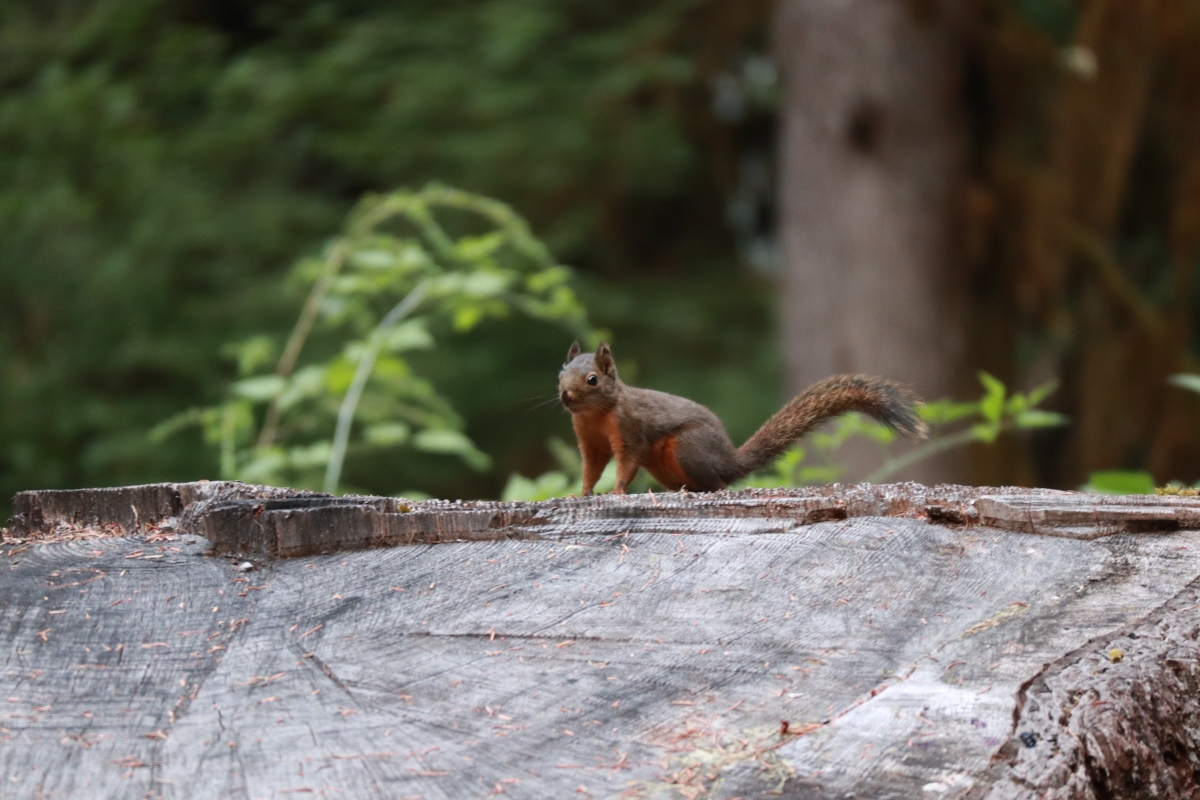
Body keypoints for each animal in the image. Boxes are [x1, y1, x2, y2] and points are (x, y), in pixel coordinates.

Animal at [554, 340, 926, 494]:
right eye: (560, 374)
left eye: (592, 379)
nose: (565, 396)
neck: (595, 416)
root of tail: (728, 461)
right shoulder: (590, 443)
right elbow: (590, 469)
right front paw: (582, 494)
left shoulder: (630, 431)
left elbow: (626, 463)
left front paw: (616, 492)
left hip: (687, 448)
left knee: (719, 485)